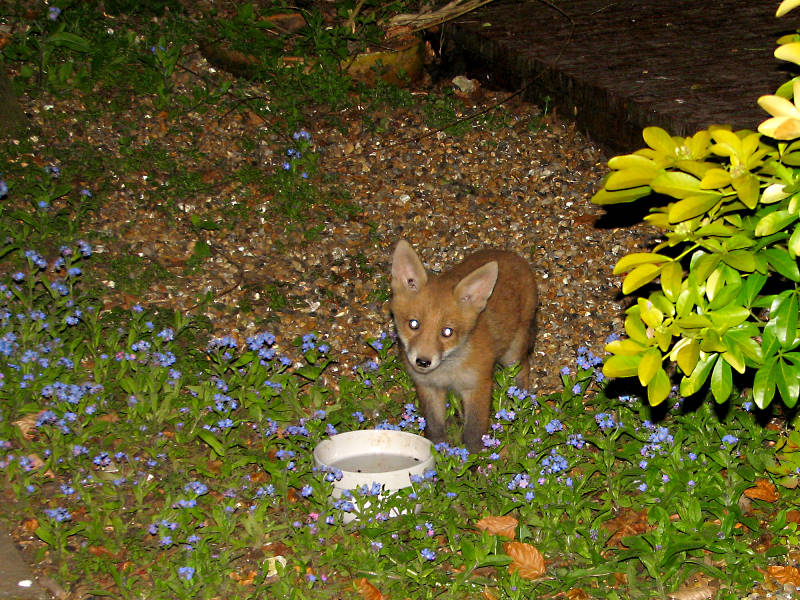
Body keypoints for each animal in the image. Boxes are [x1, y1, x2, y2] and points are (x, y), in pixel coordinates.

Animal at [390, 240, 538, 452]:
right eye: (413, 324)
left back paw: (518, 401)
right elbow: (435, 427)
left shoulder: (478, 386)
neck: (447, 372)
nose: (423, 362)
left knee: (523, 369)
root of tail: (512, 255)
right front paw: (439, 454)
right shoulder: (427, 386)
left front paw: (473, 459)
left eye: (447, 332)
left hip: (512, 353)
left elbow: (473, 433)